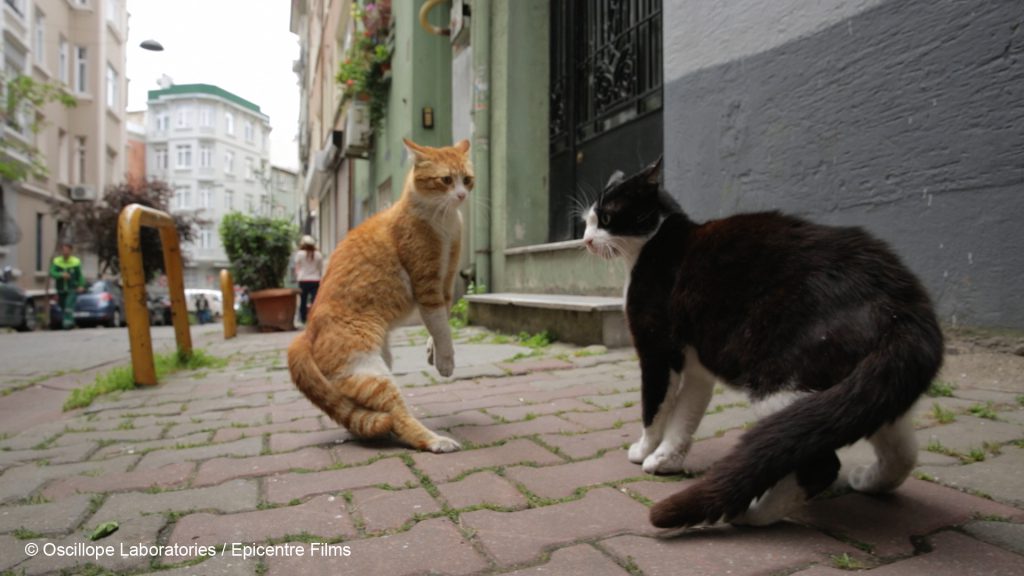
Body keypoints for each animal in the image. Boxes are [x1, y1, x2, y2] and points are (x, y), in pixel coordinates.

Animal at [286, 136, 473, 450]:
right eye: (446, 180)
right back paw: (437, 441)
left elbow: (440, 327)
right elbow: (440, 326)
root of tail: (306, 334)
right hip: (370, 372)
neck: (445, 222)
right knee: (398, 417)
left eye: (467, 180)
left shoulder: (446, 285)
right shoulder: (427, 286)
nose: (461, 195)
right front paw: (445, 361)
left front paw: (431, 351)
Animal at [585, 156, 942, 524]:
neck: (654, 242)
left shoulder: (656, 348)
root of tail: (902, 308)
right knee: (900, 447)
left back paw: (752, 513)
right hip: (868, 388)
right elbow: (685, 415)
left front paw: (643, 450)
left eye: (606, 218)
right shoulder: (698, 367)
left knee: (819, 464)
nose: (585, 240)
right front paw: (666, 459)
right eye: (589, 220)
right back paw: (870, 481)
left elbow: (654, 409)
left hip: (781, 383)